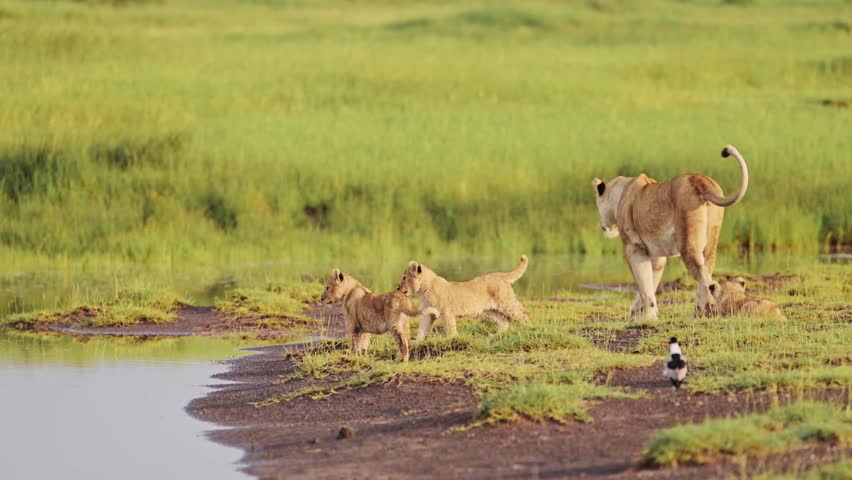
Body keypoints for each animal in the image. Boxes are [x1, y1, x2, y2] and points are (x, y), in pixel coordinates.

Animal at [397, 255, 529, 341]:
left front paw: (452, 338)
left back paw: (528, 329)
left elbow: (450, 326)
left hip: (506, 302)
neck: (423, 290)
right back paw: (496, 335)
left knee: (524, 313)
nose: (397, 288)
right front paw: (417, 342)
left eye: (404, 277)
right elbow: (423, 328)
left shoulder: (446, 311)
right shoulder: (428, 312)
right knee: (505, 321)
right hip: (491, 310)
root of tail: (500, 275)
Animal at [592, 145, 749, 320]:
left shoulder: (634, 248)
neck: (621, 192)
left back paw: (704, 312)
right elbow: (650, 283)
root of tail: (701, 180)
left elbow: (643, 285)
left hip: (688, 245)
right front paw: (639, 313)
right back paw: (698, 313)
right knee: (707, 269)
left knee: (707, 280)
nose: (603, 226)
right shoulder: (657, 256)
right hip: (710, 243)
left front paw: (648, 317)